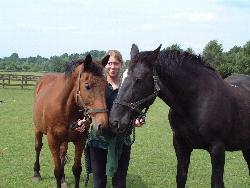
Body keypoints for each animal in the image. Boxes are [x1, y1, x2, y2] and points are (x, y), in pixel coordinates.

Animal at [32, 53, 109, 187]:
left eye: (106, 86)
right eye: (87, 86)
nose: (102, 125)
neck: (65, 108)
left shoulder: (80, 140)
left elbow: (76, 169)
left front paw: (64, 177)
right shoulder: (52, 140)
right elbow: (57, 171)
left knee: (63, 152)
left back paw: (63, 179)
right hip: (38, 129)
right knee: (38, 147)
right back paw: (36, 173)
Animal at [109, 44, 250, 188]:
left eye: (139, 79)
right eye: (122, 77)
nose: (114, 121)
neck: (196, 102)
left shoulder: (218, 148)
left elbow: (217, 182)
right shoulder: (181, 145)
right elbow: (181, 177)